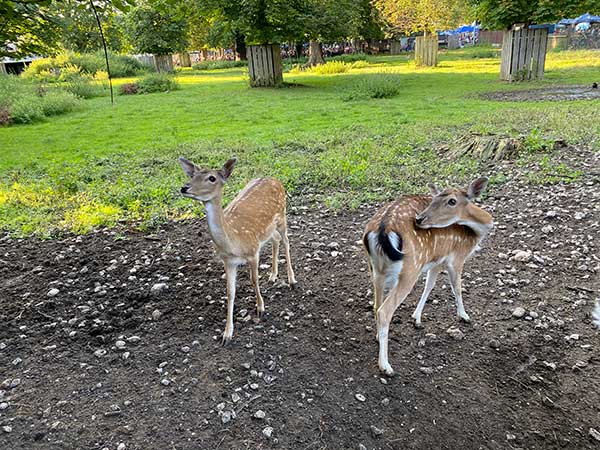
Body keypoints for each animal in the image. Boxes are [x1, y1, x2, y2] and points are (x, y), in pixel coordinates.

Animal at [179, 158, 298, 344]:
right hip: (267, 231)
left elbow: (254, 280)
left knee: (286, 241)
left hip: (282, 215)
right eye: (192, 175)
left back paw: (292, 280)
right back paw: (272, 276)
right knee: (276, 240)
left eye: (212, 178)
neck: (233, 242)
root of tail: (275, 179)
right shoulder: (228, 261)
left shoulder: (253, 251)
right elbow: (230, 292)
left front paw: (260, 308)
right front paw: (227, 334)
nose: (184, 188)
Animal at [364, 178, 494, 374]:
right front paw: (464, 316)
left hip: (377, 270)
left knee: (376, 305)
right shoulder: (456, 257)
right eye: (435, 199)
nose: (419, 219)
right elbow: (457, 288)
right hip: (410, 268)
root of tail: (381, 230)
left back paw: (379, 338)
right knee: (384, 311)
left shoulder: (436, 261)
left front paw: (416, 318)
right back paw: (386, 366)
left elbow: (429, 286)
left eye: (451, 201)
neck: (475, 235)